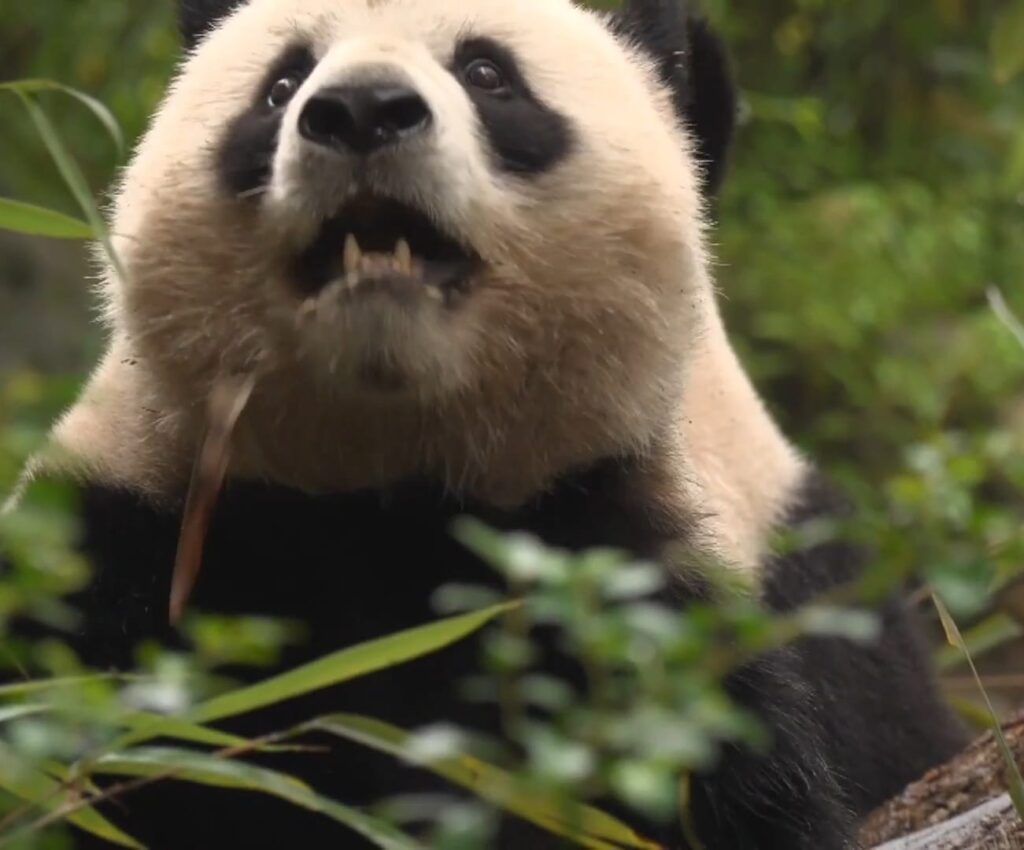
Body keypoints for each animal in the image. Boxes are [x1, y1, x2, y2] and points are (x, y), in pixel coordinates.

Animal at [3, 0, 968, 848]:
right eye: (281, 84)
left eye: (486, 72)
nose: (361, 111)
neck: (384, 474)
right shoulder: (131, 530)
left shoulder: (618, 576)